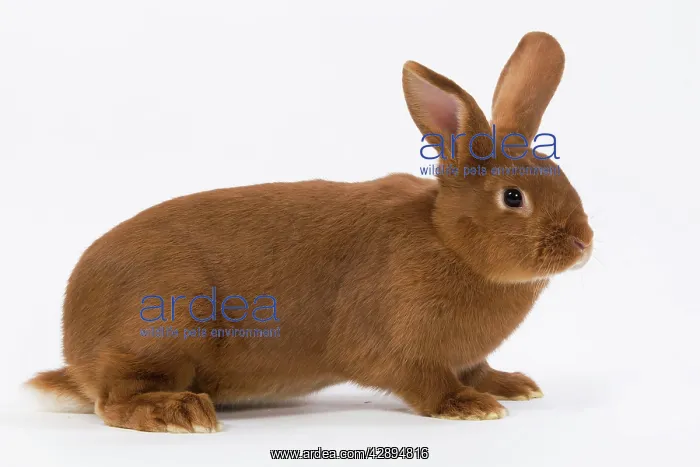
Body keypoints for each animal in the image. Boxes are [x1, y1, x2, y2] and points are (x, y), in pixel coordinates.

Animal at [25, 31, 593, 433]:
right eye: (513, 197)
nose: (584, 244)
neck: (447, 239)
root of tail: (75, 354)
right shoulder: (390, 343)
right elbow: (419, 378)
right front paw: (470, 405)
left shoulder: (465, 352)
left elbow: (476, 366)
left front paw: (512, 386)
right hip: (165, 321)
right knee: (114, 401)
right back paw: (181, 413)